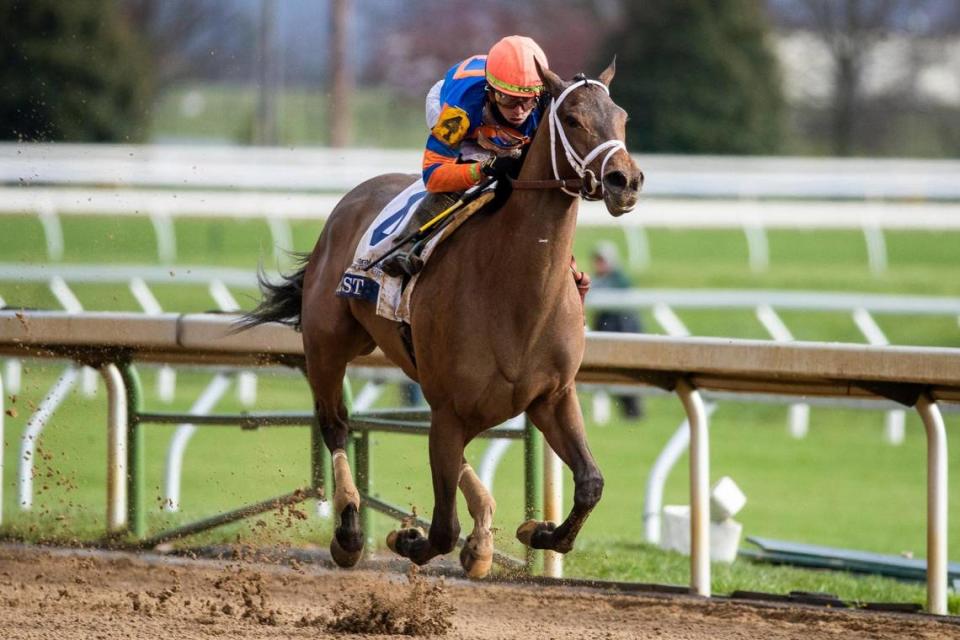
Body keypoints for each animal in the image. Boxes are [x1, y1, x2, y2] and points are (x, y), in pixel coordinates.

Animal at [242, 61, 644, 580]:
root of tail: (349, 201)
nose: (625, 181)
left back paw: (482, 538)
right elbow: (441, 529)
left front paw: (536, 531)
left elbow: (590, 482)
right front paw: (405, 537)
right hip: (329, 345)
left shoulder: (550, 397)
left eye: (622, 117)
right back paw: (349, 531)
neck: (516, 293)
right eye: (572, 119)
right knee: (334, 423)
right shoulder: (450, 407)